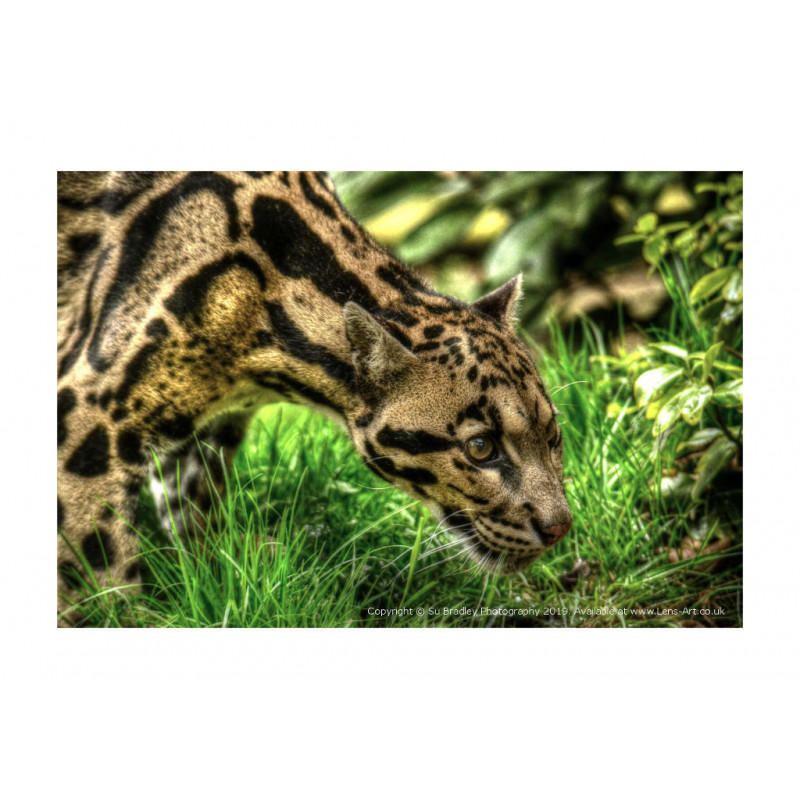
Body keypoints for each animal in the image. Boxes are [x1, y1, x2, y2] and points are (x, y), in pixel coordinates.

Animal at [57, 171, 573, 625]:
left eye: (554, 436)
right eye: (480, 447)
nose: (560, 528)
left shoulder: (207, 430)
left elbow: (193, 511)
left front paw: (213, 584)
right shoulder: (90, 416)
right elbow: (97, 574)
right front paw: (123, 617)